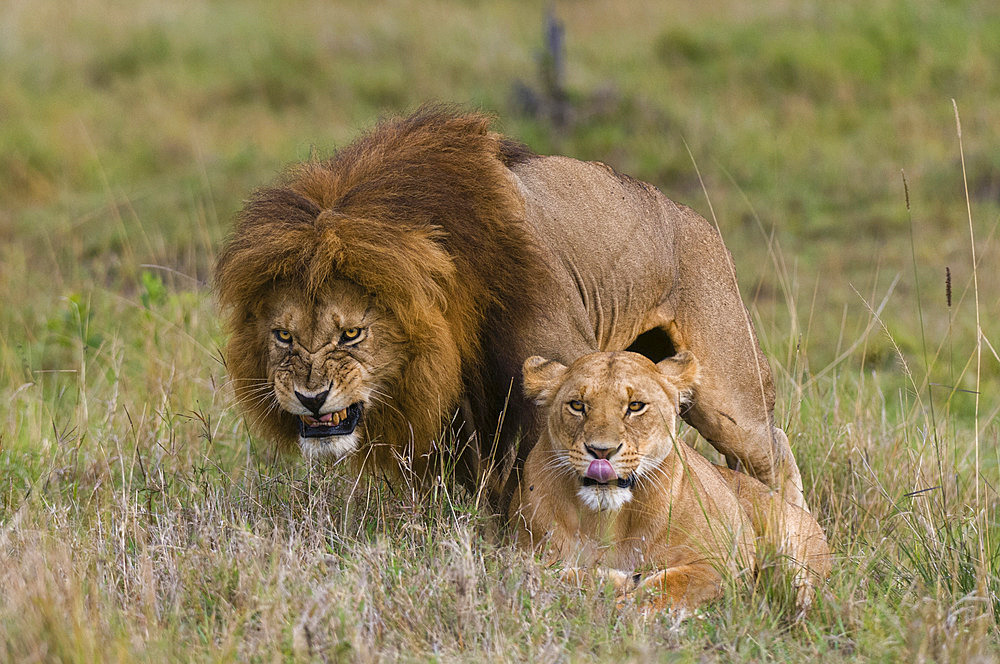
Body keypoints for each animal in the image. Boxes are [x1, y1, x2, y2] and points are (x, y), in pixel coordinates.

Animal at [217, 107, 804, 508]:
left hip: (728, 392)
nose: (310, 398)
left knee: (770, 450)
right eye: (283, 336)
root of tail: (696, 220)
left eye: (351, 334)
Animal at [512, 352, 832, 612]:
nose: (601, 451)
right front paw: (609, 580)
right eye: (577, 405)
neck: (607, 518)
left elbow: (666, 588)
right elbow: (539, 574)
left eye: (635, 406)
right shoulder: (522, 551)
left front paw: (623, 600)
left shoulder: (720, 561)